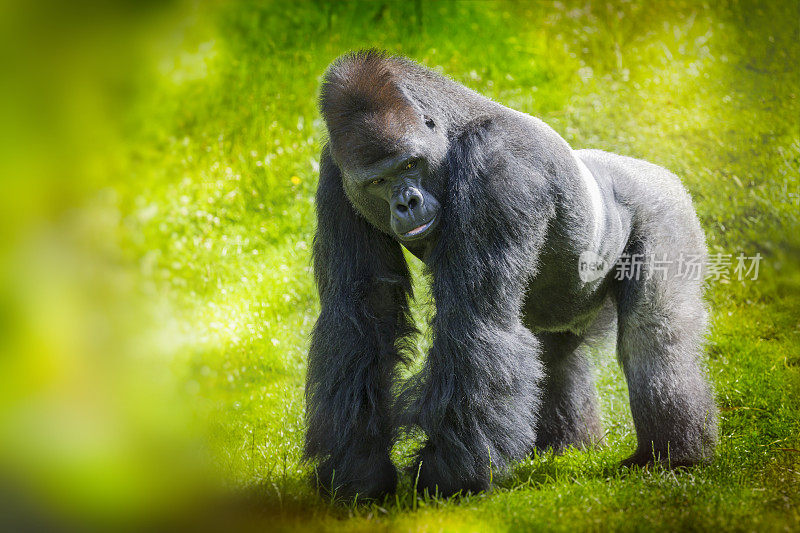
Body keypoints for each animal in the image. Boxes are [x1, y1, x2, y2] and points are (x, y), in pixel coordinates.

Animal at [304, 50, 720, 498]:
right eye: (379, 180)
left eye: (411, 164)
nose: (406, 202)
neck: (449, 130)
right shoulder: (336, 177)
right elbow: (363, 317)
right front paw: (360, 469)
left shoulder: (500, 166)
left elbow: (475, 323)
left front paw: (448, 475)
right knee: (554, 353)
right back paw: (569, 446)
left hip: (664, 203)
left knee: (654, 334)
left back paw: (671, 456)